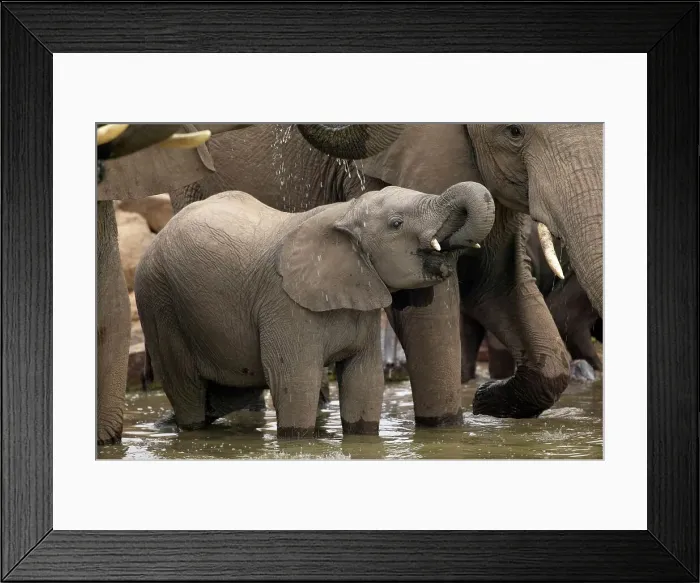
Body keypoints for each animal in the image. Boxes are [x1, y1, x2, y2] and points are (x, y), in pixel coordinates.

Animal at [96, 123, 406, 445]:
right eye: (396, 225)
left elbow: (365, 380)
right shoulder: (284, 307)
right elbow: (292, 381)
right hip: (161, 302)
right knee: (187, 389)